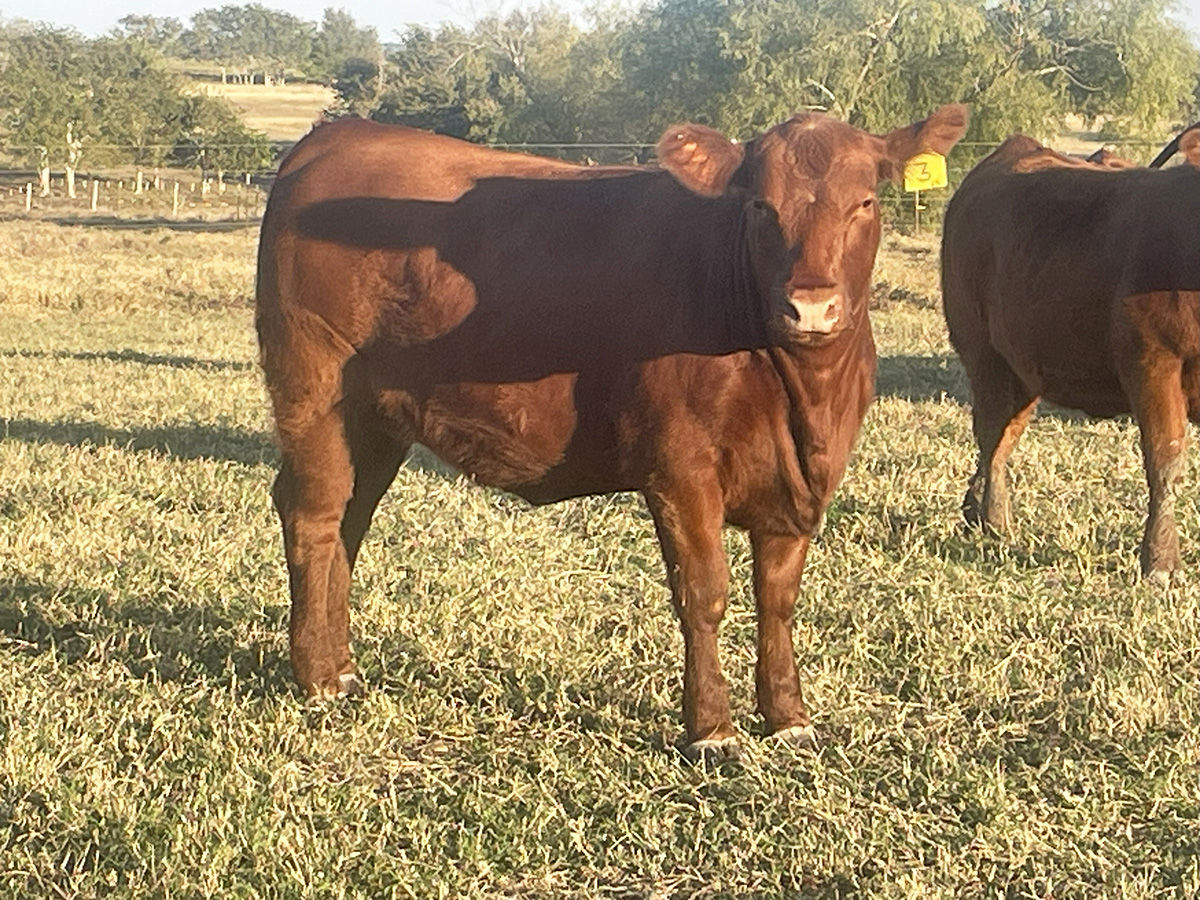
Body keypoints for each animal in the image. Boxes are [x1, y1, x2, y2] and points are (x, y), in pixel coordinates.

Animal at [256, 106, 969, 761]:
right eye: (761, 207)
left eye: (866, 202)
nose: (811, 306)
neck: (804, 400)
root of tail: (339, 134)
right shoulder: (679, 468)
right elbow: (704, 593)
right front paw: (713, 729)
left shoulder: (799, 485)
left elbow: (778, 597)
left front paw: (788, 716)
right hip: (315, 389)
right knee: (313, 515)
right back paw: (317, 678)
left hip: (376, 419)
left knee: (349, 521)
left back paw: (342, 665)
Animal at [941, 129, 1200, 584]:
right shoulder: (1153, 364)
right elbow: (1165, 461)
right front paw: (1161, 562)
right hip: (983, 353)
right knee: (991, 433)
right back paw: (995, 518)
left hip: (1024, 368)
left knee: (1005, 435)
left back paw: (976, 508)